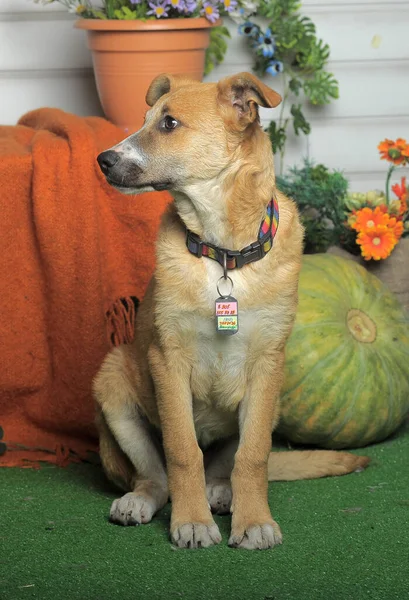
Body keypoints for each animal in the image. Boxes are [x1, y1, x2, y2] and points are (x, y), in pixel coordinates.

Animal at [94, 72, 368, 552]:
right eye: (143, 119)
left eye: (169, 123)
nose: (103, 160)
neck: (223, 253)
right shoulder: (167, 360)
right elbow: (182, 450)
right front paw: (191, 522)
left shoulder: (267, 365)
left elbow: (253, 454)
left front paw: (253, 520)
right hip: (113, 383)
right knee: (155, 476)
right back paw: (143, 500)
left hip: (274, 400)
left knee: (222, 467)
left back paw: (222, 494)